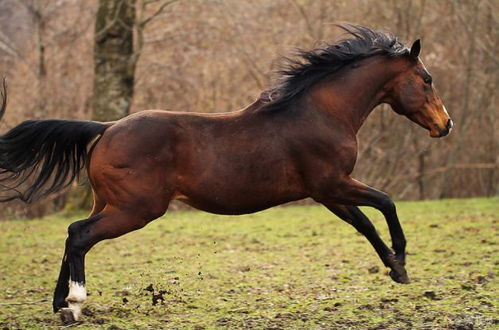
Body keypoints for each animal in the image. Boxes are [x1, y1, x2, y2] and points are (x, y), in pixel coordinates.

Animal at [0, 25, 454, 322]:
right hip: (136, 209)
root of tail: (107, 128)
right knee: (80, 235)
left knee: (72, 235)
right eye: (427, 79)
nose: (445, 125)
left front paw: (396, 269)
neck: (320, 113)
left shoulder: (327, 193)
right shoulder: (333, 183)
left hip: (108, 203)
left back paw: (59, 304)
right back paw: (75, 304)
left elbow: (365, 224)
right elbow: (385, 203)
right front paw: (402, 259)